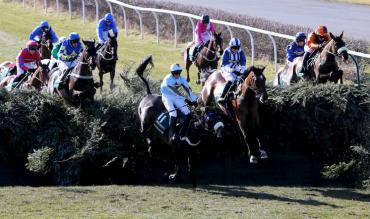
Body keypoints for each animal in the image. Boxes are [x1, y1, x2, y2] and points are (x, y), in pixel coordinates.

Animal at [135, 54, 224, 186]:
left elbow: (191, 166)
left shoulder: (192, 151)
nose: (221, 132)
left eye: (219, 117)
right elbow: (177, 164)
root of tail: (148, 94)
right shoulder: (176, 148)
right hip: (145, 119)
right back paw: (150, 146)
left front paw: (193, 180)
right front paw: (174, 176)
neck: (191, 129)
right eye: (210, 119)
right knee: (143, 131)